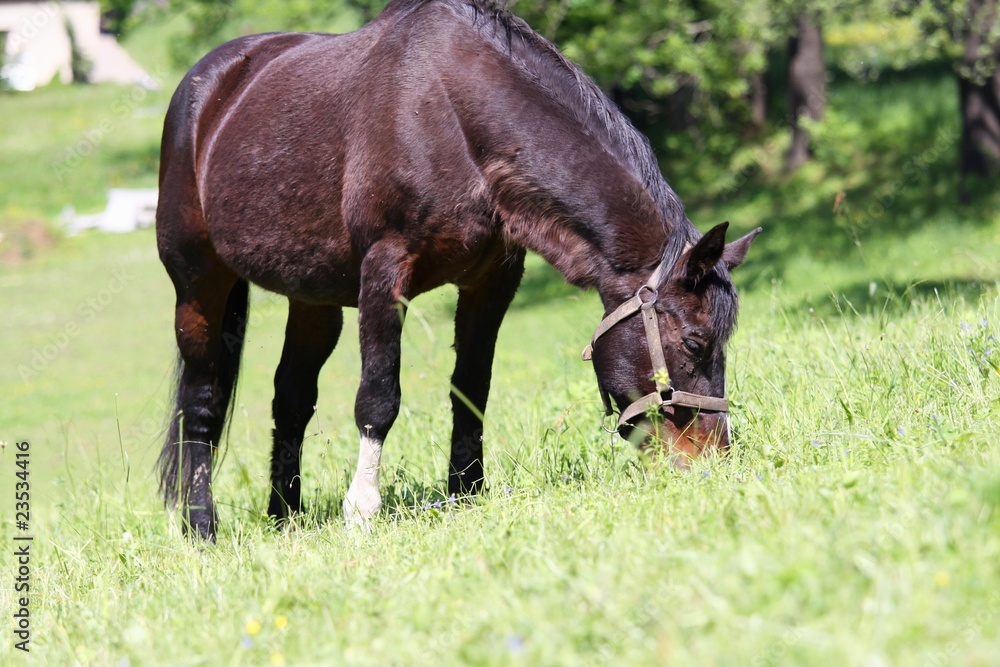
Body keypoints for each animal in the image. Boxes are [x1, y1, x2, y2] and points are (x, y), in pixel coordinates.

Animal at [155, 0, 761, 541]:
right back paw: (201, 527)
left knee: (292, 399)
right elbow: (378, 396)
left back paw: (285, 517)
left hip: (314, 297)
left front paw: (466, 492)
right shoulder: (385, 273)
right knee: (201, 403)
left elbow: (471, 387)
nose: (714, 460)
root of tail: (207, 88)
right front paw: (362, 510)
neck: (450, 115)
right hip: (198, 285)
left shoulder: (492, 280)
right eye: (695, 343)